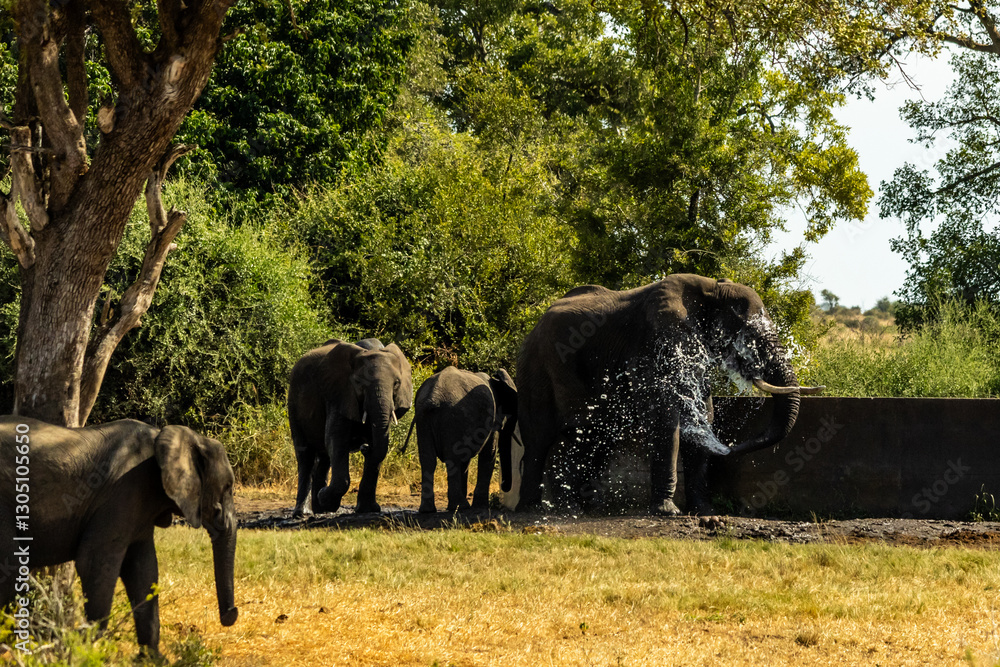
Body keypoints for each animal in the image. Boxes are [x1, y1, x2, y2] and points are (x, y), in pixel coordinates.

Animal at [0, 417, 238, 655]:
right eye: (228, 487)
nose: (231, 614)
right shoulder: (124, 490)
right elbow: (95, 561)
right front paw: (84, 648)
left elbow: (144, 568)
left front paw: (152, 658)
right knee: (11, 568)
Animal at [288, 339, 413, 516]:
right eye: (359, 384)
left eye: (396, 384)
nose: (364, 447)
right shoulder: (338, 395)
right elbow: (336, 440)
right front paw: (325, 498)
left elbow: (379, 446)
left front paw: (367, 510)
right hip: (294, 402)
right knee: (305, 455)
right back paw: (304, 512)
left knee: (324, 458)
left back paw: (321, 510)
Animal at [400, 367, 518, 513]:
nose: (505, 488)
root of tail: (432, 398)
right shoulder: (492, 417)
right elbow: (489, 454)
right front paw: (481, 506)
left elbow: (466, 459)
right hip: (453, 417)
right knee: (452, 459)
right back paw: (460, 507)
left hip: (424, 419)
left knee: (428, 460)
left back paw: (429, 510)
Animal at [514, 274, 823, 515]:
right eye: (746, 336)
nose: (730, 448)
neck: (711, 288)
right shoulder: (653, 345)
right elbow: (666, 417)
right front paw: (668, 512)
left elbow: (703, 413)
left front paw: (704, 511)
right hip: (535, 365)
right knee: (540, 436)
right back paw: (534, 509)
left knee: (590, 436)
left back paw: (578, 508)